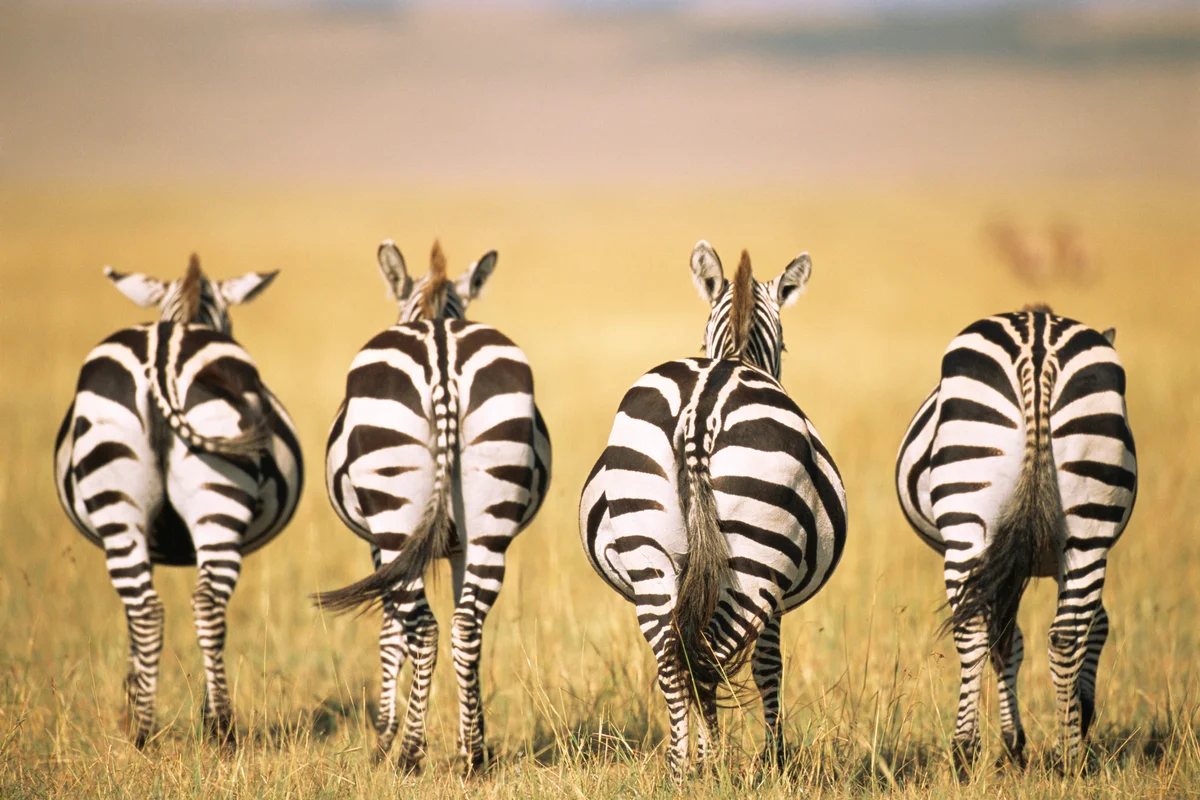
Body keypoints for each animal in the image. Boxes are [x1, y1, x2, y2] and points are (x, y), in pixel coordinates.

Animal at [53, 255, 303, 748]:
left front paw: (136, 700)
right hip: (193, 501)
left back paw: (173, 730)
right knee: (185, 607)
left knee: (171, 609)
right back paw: (184, 727)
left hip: (141, 503)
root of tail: (163, 351)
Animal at [314, 240, 551, 774]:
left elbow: (390, 634)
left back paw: (408, 753)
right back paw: (474, 757)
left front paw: (383, 736)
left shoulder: (379, 549)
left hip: (394, 515)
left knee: (422, 629)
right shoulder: (460, 547)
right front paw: (469, 737)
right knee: (466, 625)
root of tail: (441, 352)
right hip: (490, 519)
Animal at [578, 241, 847, 776]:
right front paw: (774, 762)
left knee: (673, 658)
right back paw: (711, 765)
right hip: (756, 563)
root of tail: (702, 405)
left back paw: (681, 769)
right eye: (786, 349)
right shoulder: (775, 600)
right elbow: (769, 667)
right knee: (708, 656)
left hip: (649, 552)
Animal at [895, 305, 1136, 776]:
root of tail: (1037, 345)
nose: (1088, 714)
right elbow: (1076, 627)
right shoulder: (1028, 563)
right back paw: (1065, 757)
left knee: (983, 628)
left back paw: (968, 751)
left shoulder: (1014, 564)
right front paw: (1032, 734)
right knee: (1061, 633)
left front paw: (1017, 739)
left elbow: (1008, 639)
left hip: (972, 521)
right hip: (1082, 528)